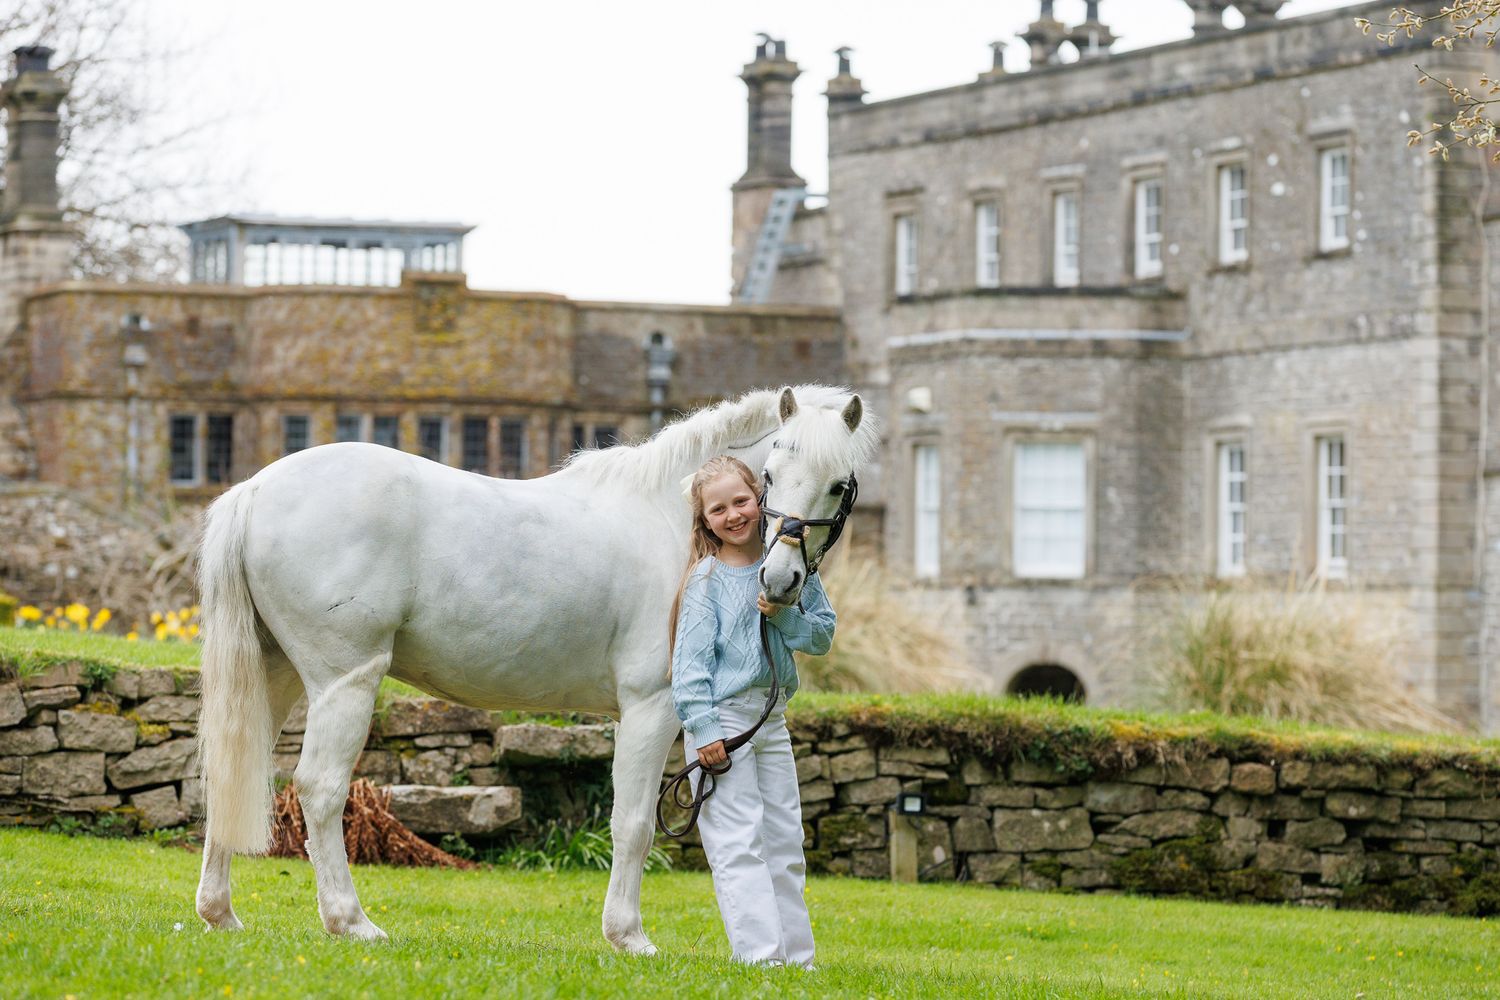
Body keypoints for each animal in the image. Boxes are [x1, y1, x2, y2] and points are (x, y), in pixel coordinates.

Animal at [193, 383, 879, 951]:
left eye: (837, 484)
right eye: (770, 474)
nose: (780, 581)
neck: (673, 522)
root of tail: (255, 490)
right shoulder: (652, 708)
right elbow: (633, 824)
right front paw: (628, 936)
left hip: (275, 676)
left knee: (232, 770)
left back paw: (219, 912)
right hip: (346, 682)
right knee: (319, 788)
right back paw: (350, 921)